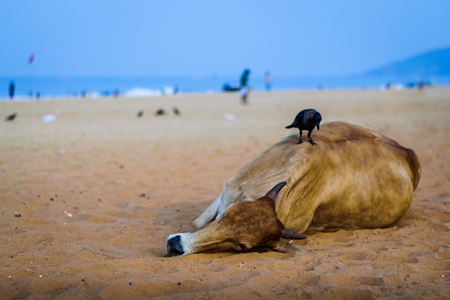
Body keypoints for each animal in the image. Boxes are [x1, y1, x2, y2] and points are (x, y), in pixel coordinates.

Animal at [166, 120, 422, 256]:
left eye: (242, 246)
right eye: (230, 213)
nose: (176, 245)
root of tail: (406, 150)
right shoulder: (225, 192)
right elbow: (198, 222)